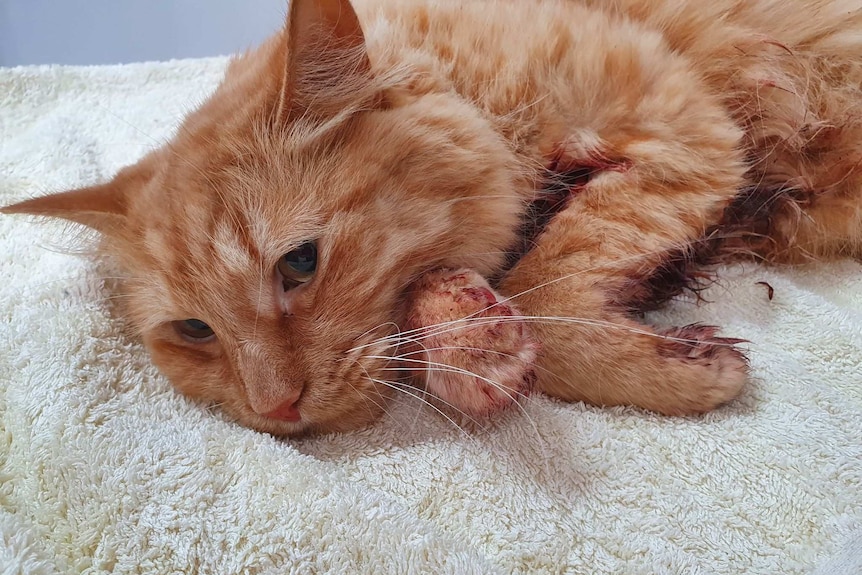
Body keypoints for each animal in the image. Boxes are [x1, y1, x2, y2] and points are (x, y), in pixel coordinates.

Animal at [3, 0, 860, 434]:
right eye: (193, 332)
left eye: (299, 265)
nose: (275, 410)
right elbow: (484, 299)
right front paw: (473, 344)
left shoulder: (682, 127)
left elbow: (548, 288)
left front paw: (680, 364)